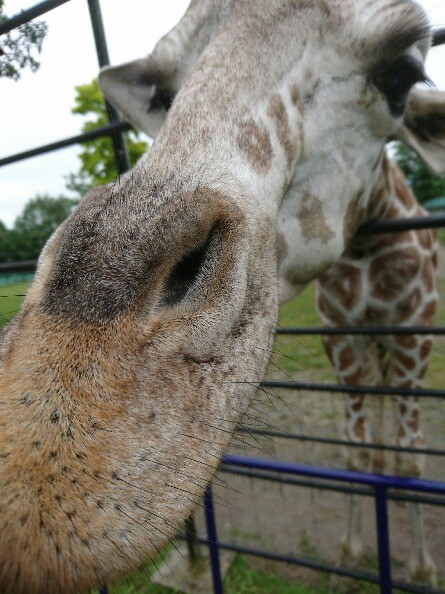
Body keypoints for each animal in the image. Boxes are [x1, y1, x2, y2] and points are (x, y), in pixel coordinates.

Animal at [316, 153, 438, 584]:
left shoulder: (414, 337)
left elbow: (412, 453)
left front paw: (423, 570)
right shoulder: (341, 339)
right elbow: (356, 450)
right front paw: (348, 555)